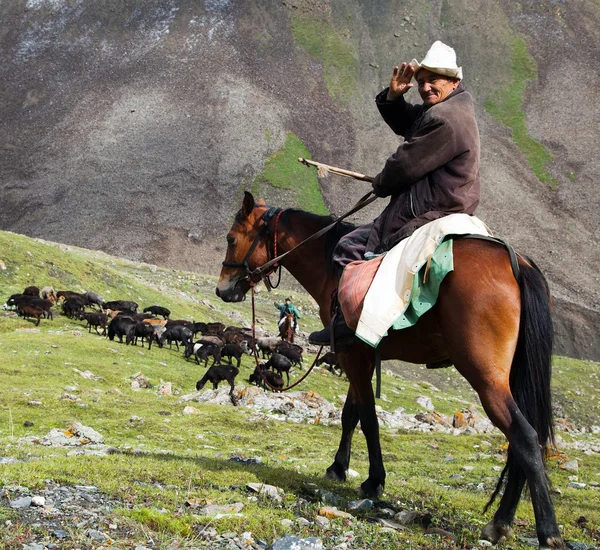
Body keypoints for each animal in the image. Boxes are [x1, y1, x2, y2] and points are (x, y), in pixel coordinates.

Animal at [218, 192, 564, 548]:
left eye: (231, 238)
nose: (223, 289)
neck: (329, 264)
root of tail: (517, 264)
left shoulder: (352, 354)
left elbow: (368, 418)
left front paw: (373, 481)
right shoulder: (360, 354)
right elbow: (351, 414)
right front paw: (338, 468)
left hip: (487, 378)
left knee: (525, 437)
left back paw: (542, 531)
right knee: (527, 440)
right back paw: (503, 521)